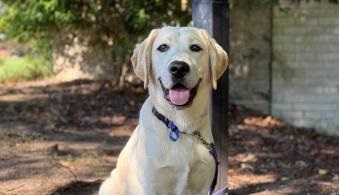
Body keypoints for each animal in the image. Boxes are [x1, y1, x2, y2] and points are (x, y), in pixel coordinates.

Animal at [99, 26, 230, 195]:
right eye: (162, 47)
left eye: (195, 47)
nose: (179, 68)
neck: (181, 126)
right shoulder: (151, 185)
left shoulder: (202, 186)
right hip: (108, 185)